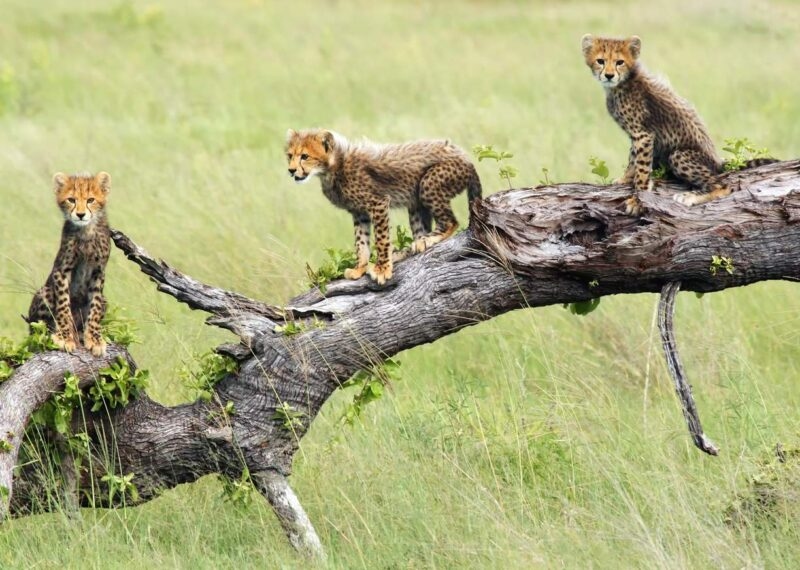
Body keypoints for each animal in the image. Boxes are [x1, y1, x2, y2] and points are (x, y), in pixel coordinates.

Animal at [27, 172, 112, 356]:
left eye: (90, 200)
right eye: (71, 200)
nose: (80, 215)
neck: (86, 230)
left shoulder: (99, 271)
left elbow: (94, 307)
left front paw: (94, 339)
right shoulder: (62, 269)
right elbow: (63, 306)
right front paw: (65, 337)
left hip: (105, 300)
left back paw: (79, 333)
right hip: (44, 292)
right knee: (36, 330)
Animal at [285, 129, 482, 285]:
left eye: (305, 156)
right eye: (290, 156)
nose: (291, 170)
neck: (333, 167)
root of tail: (465, 156)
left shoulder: (378, 203)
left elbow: (381, 239)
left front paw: (382, 269)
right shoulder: (359, 213)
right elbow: (361, 242)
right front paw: (360, 268)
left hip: (429, 183)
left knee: (450, 222)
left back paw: (425, 241)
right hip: (415, 203)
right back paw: (408, 249)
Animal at [581, 34, 776, 215]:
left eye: (619, 62)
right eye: (600, 61)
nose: (609, 75)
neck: (622, 83)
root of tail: (718, 162)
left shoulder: (643, 135)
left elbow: (642, 169)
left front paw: (638, 200)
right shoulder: (639, 136)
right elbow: (633, 159)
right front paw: (624, 179)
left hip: (679, 155)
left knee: (722, 186)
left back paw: (690, 197)